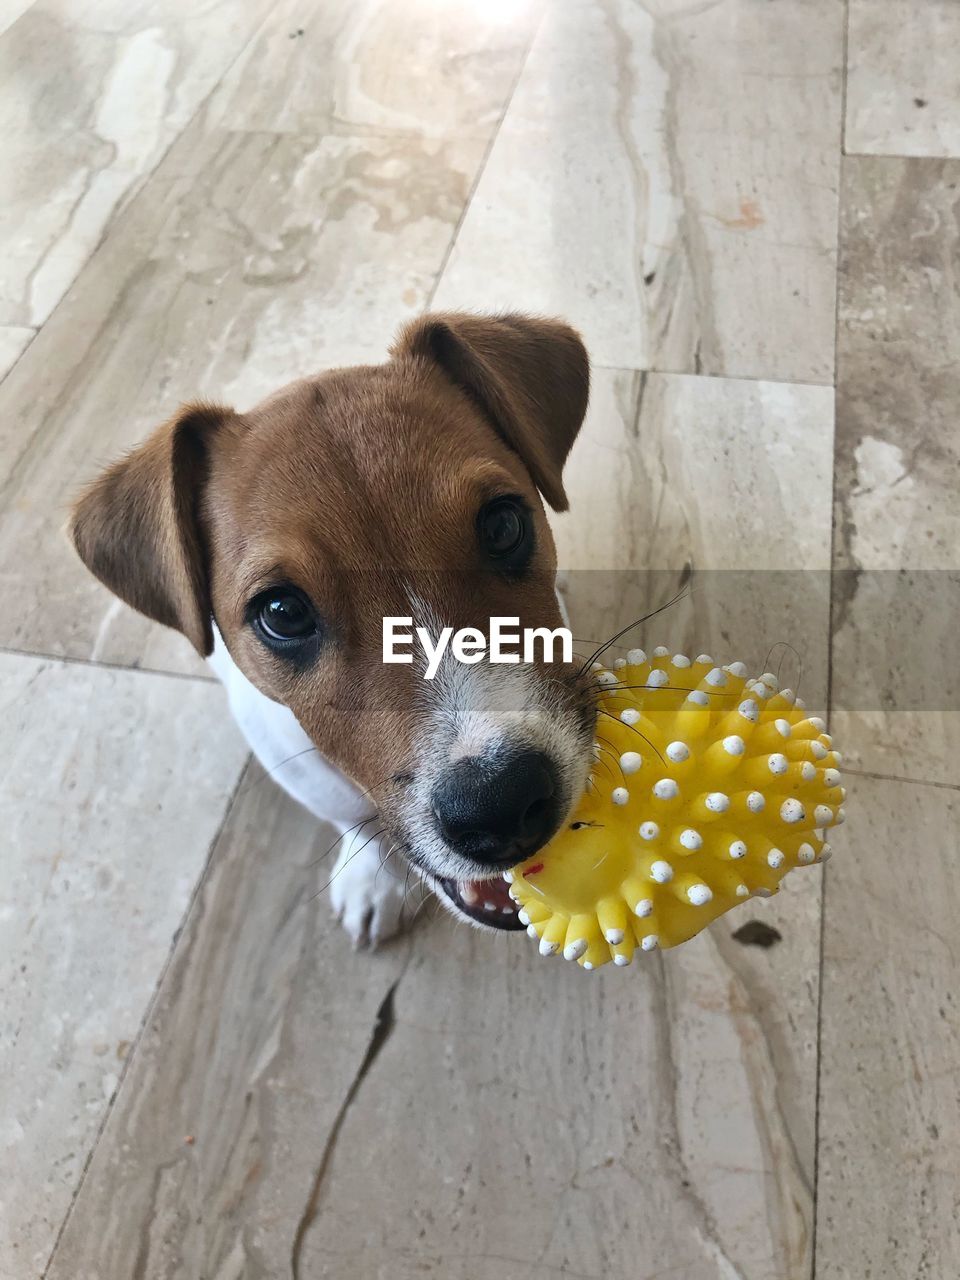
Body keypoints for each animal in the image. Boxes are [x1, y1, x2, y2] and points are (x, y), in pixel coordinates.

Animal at [71, 309, 601, 947]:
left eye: (503, 525)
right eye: (282, 613)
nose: (501, 802)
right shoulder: (290, 756)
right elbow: (349, 812)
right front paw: (374, 874)